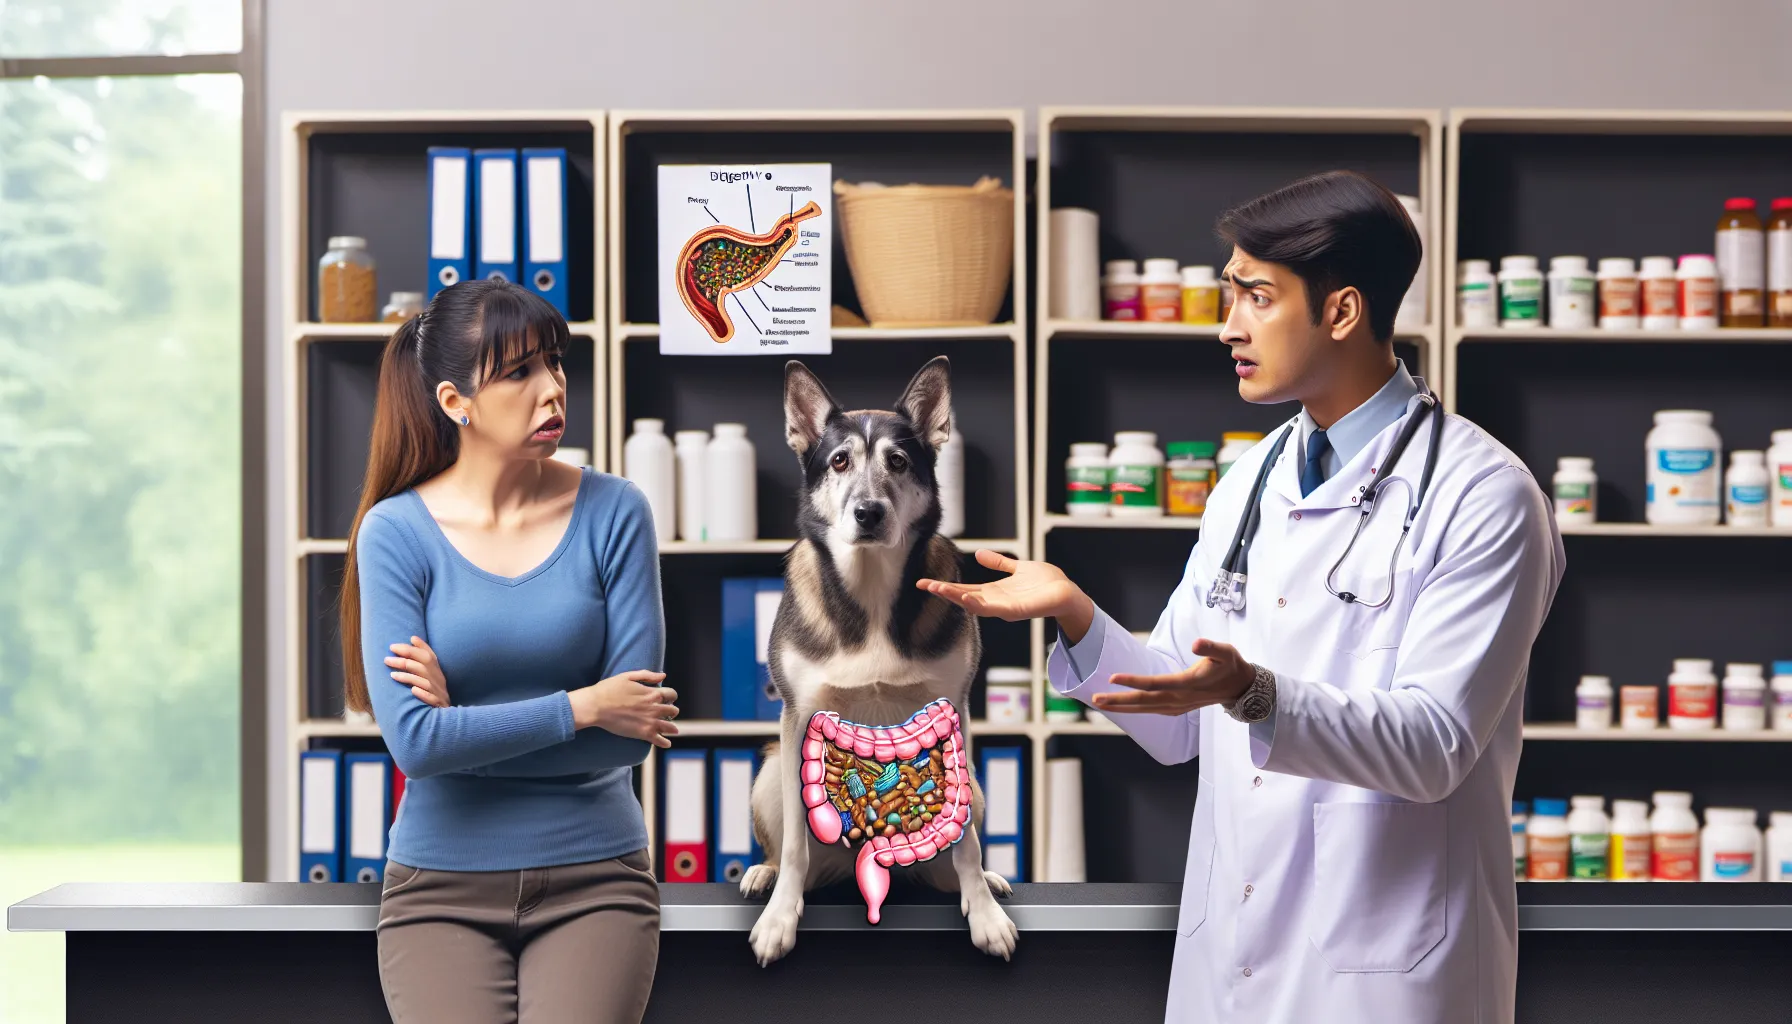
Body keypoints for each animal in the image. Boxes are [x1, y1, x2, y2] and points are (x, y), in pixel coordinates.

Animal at [741, 356, 1025, 968]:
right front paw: (778, 918)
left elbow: (966, 844)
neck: (870, 590)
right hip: (770, 771)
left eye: (898, 461)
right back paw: (763, 875)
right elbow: (796, 843)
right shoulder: (798, 717)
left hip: (977, 789)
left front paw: (985, 914)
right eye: (839, 460)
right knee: (790, 850)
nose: (868, 513)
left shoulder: (956, 712)